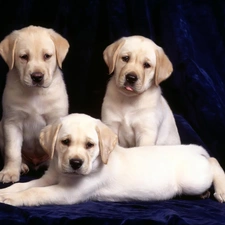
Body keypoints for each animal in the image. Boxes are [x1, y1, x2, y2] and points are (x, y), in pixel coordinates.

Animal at [0, 25, 69, 183]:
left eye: (47, 56)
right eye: (24, 57)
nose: (37, 77)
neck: (35, 93)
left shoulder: (55, 119)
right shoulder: (12, 122)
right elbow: (12, 151)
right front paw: (10, 172)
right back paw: (22, 166)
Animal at [0, 113, 225, 207]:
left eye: (90, 145)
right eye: (65, 142)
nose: (75, 163)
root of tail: (193, 149)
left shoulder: (69, 192)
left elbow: (36, 192)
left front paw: (12, 199)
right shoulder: (48, 178)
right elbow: (27, 185)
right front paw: (6, 191)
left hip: (193, 179)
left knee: (214, 162)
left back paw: (220, 191)